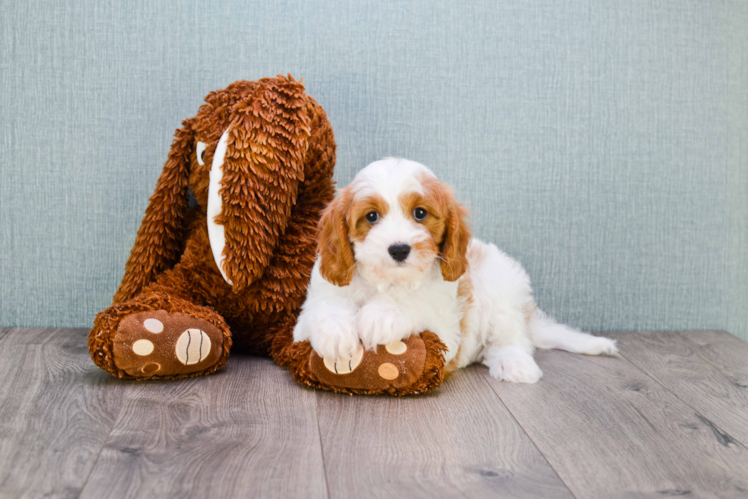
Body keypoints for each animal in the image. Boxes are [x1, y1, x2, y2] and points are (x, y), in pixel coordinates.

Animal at [290, 159, 612, 382]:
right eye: (371, 217)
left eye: (420, 213)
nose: (399, 249)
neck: (387, 282)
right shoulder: (309, 312)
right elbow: (325, 309)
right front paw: (335, 334)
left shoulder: (446, 330)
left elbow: (416, 305)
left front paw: (383, 315)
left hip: (503, 292)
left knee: (512, 339)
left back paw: (515, 364)